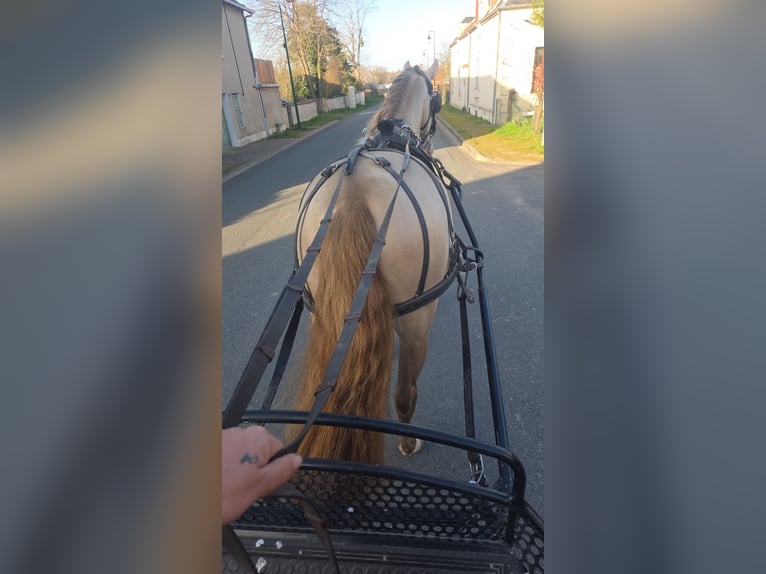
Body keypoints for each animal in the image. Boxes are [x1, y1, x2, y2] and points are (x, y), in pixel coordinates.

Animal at [287, 61, 455, 464]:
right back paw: (408, 442)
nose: (430, 137)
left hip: (322, 312)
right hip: (418, 318)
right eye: (436, 101)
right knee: (405, 393)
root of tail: (352, 196)